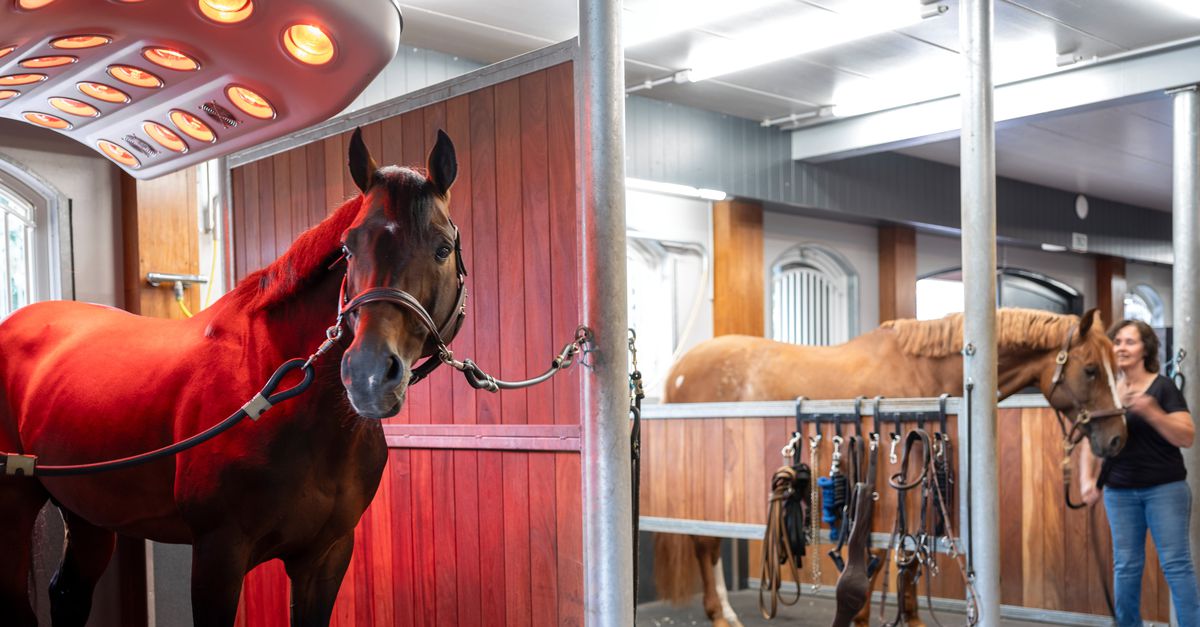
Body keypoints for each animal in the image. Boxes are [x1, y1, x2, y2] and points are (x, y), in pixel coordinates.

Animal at [0, 127, 463, 624]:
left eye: (442, 248)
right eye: (347, 247)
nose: (369, 374)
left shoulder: (327, 556)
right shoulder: (218, 555)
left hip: (88, 511)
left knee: (68, 593)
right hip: (15, 505)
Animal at [648, 306, 1123, 624]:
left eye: (1117, 367)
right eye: (1091, 369)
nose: (1118, 438)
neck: (923, 372)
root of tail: (680, 368)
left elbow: (909, 565)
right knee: (705, 546)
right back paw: (722, 614)